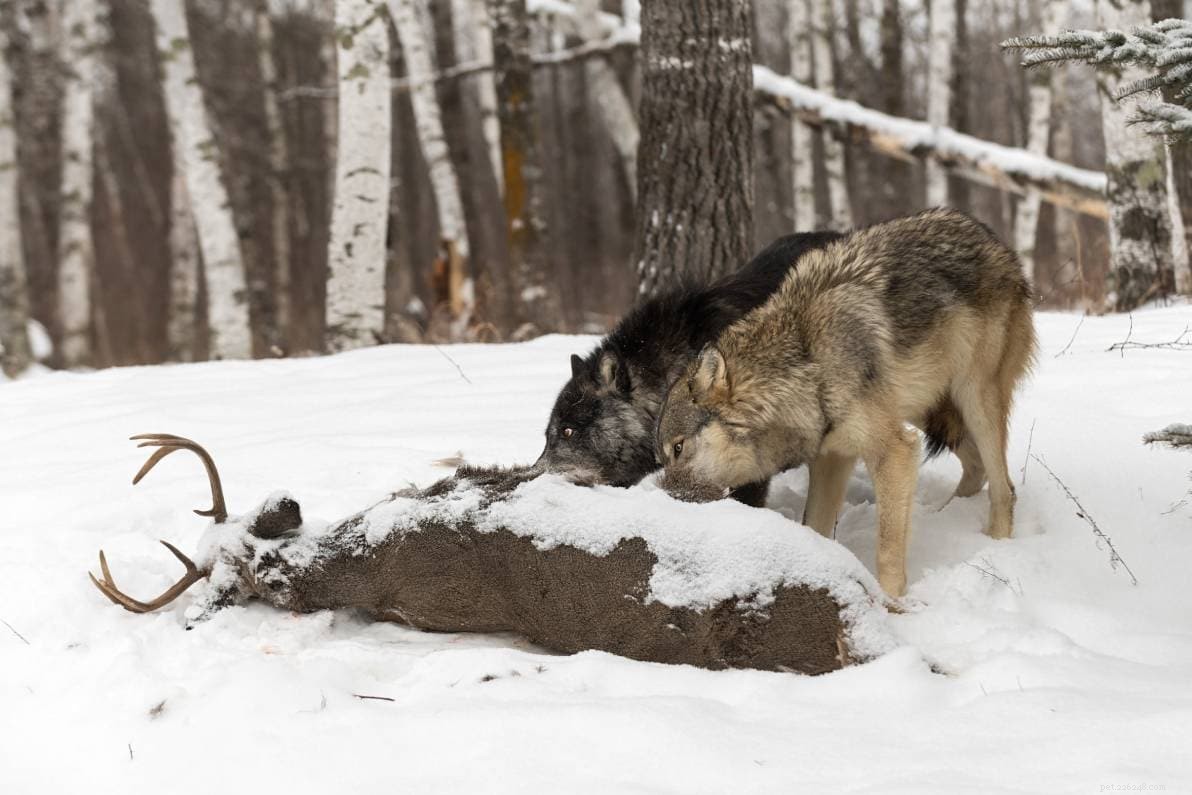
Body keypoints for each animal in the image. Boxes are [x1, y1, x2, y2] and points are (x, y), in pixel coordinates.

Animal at [656, 208, 1037, 596]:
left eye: (678, 448)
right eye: (662, 457)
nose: (664, 504)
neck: (809, 365)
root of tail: (985, 233)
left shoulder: (894, 451)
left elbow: (887, 551)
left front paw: (892, 603)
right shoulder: (832, 456)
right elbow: (813, 528)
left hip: (974, 399)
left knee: (1004, 487)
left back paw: (995, 543)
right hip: (924, 409)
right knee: (976, 467)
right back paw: (944, 518)